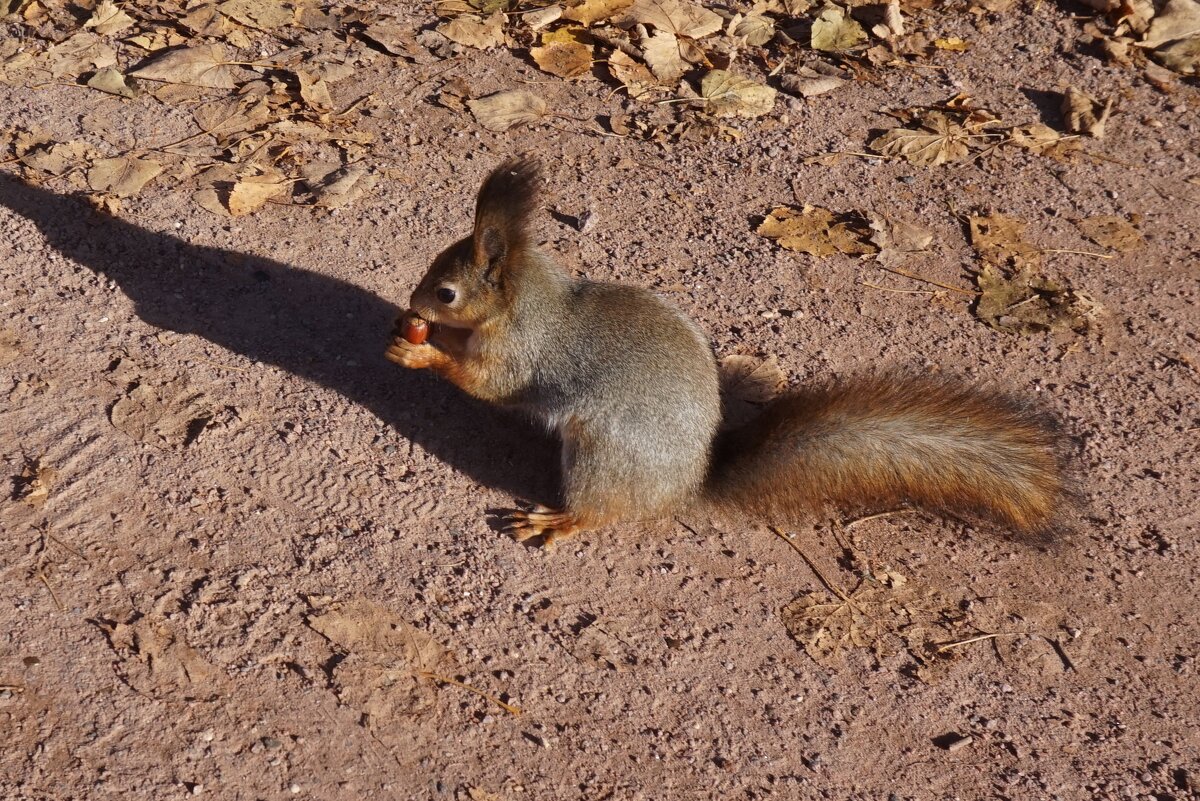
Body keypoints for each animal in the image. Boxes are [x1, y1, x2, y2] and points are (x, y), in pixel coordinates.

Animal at [386, 158, 1070, 544]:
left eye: (446, 291)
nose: (416, 303)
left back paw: (556, 521)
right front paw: (413, 331)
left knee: (600, 513)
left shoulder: (519, 353)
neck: (526, 299)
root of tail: (686, 488)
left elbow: (485, 385)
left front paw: (424, 353)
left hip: (601, 456)